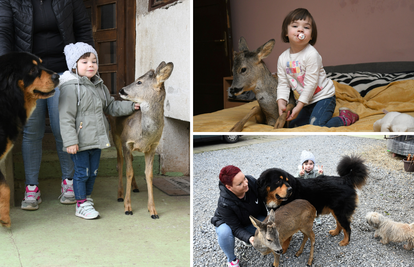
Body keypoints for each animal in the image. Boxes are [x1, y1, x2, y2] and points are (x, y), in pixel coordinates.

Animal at [0, 52, 58, 228]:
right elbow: (5, 187)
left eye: (41, 63)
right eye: (32, 70)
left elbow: (4, 187)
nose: (57, 76)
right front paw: (4, 218)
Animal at [110, 61, 173, 220]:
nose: (121, 90)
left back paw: (135, 187)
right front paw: (128, 207)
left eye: (139, 82)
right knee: (120, 162)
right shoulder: (127, 142)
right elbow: (128, 172)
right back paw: (120, 194)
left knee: (130, 160)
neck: (144, 133)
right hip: (115, 135)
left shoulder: (152, 147)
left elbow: (148, 174)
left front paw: (153, 211)